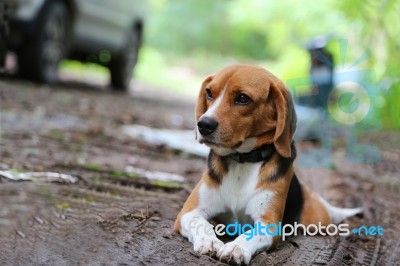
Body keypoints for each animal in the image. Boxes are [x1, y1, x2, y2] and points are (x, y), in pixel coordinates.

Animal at [173, 64, 360, 264]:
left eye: (242, 98)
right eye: (209, 93)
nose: (203, 125)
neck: (242, 160)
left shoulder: (268, 223)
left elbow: (251, 234)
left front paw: (236, 248)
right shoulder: (188, 212)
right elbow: (201, 223)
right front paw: (209, 241)